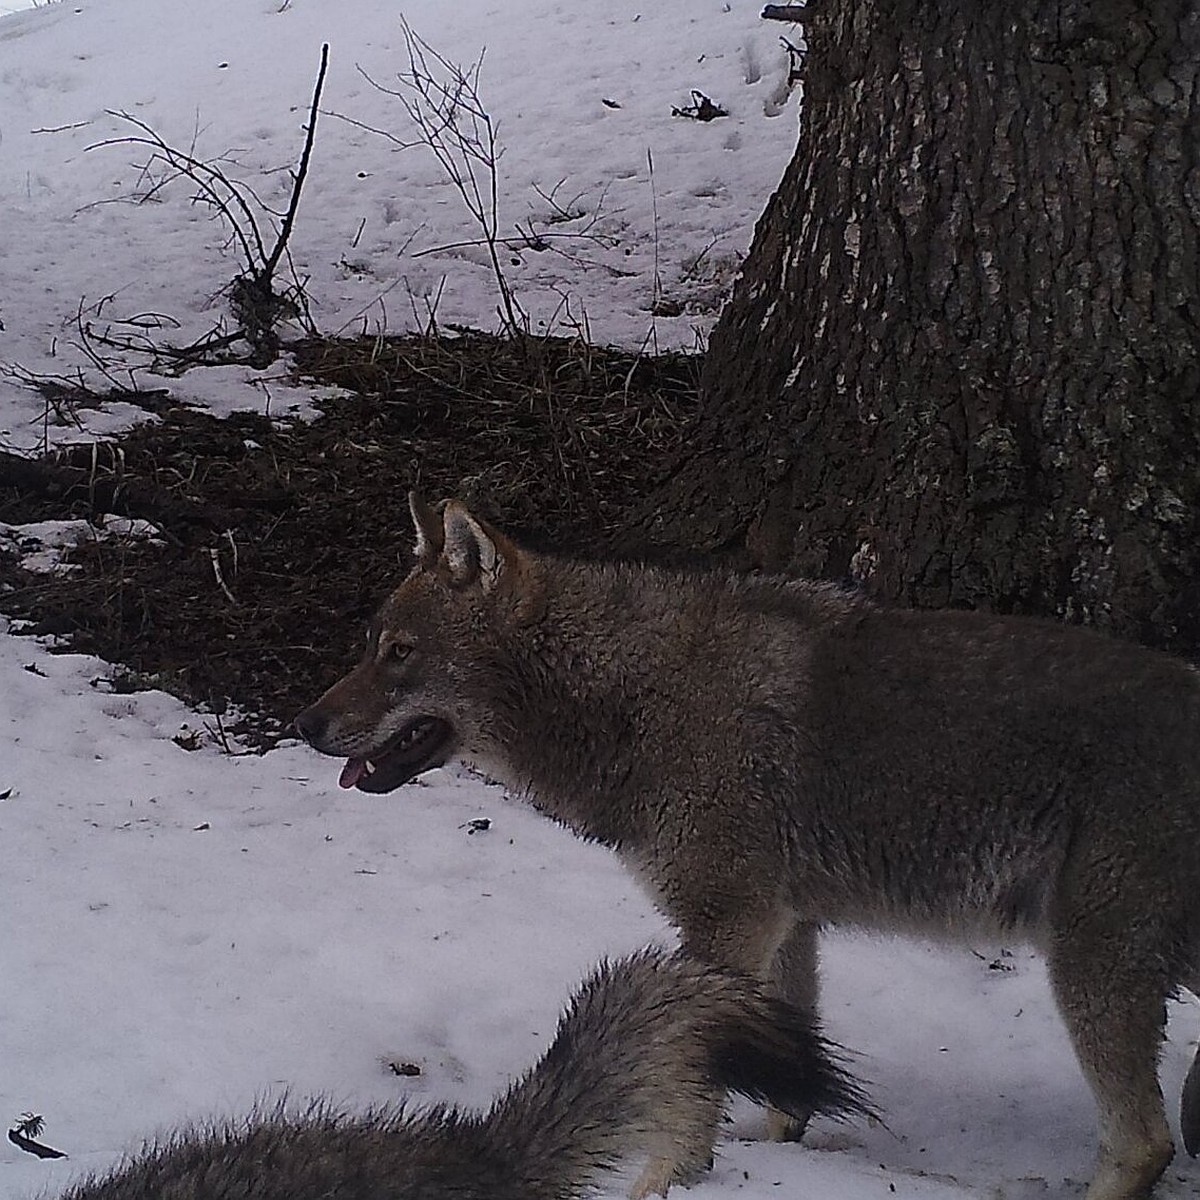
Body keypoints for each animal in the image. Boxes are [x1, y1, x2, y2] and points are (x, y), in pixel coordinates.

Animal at [292, 492, 1200, 1200]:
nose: (304, 724)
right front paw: (775, 1148)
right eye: (371, 647)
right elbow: (787, 1069)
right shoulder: (787, 927)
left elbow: (696, 1073)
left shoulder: (729, 921)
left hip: (1088, 967)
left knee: (1144, 1143)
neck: (634, 696)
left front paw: (670, 1179)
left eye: (399, 655)